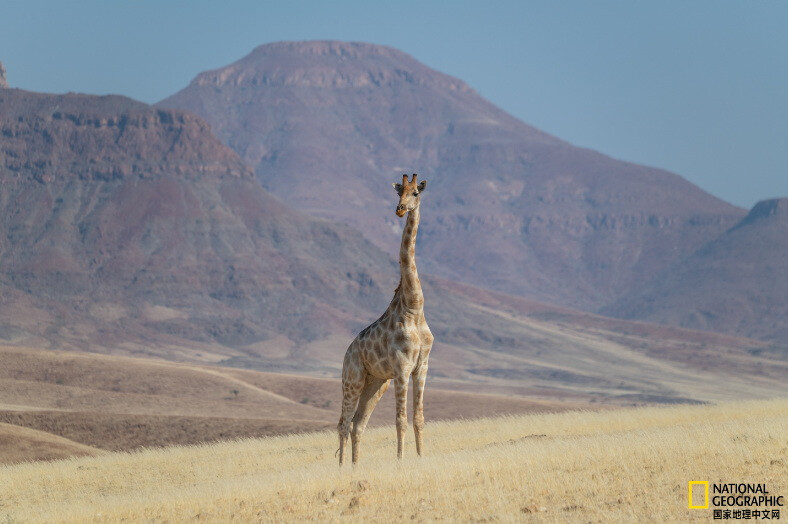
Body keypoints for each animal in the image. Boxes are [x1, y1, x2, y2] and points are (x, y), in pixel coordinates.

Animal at [338, 174, 434, 464]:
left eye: (415, 193)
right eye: (398, 192)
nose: (400, 209)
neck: (414, 307)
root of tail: (347, 352)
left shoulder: (422, 366)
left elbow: (418, 418)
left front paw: (420, 458)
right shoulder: (402, 366)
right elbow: (400, 419)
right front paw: (401, 462)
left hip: (376, 383)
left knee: (358, 423)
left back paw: (355, 467)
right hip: (353, 379)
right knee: (343, 423)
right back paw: (341, 468)